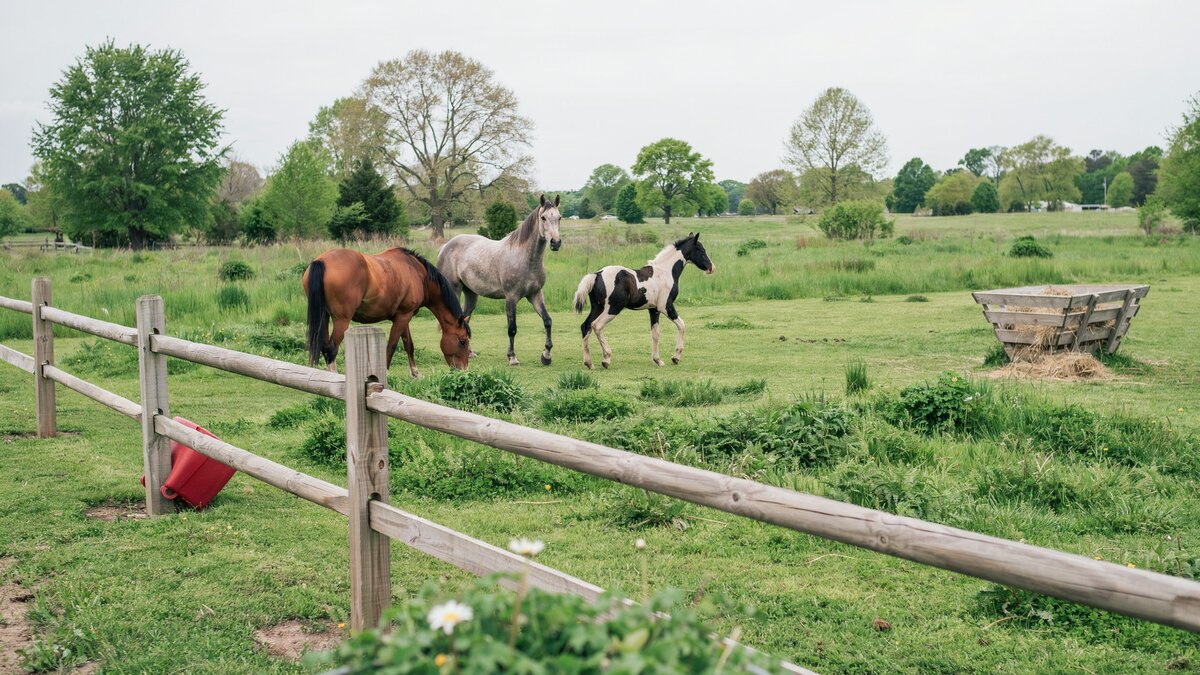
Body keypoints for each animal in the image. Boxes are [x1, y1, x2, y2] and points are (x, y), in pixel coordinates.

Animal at [303, 247, 471, 378]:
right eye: (462, 341)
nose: (463, 370)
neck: (417, 273)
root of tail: (322, 261)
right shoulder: (403, 317)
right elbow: (391, 346)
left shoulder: (404, 316)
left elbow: (409, 344)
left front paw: (416, 373)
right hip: (341, 320)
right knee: (331, 348)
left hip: (324, 318)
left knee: (324, 346)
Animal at [436, 194, 562, 366]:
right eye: (543, 217)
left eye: (559, 217)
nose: (555, 242)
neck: (525, 259)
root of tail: (445, 247)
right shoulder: (511, 297)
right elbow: (512, 328)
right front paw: (512, 357)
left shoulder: (535, 295)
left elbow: (547, 321)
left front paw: (546, 355)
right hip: (454, 290)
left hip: (471, 294)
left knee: (465, 319)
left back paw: (469, 353)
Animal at [572, 233, 714, 369]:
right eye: (701, 249)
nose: (711, 268)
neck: (665, 272)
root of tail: (597, 274)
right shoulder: (666, 306)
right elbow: (682, 325)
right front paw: (675, 357)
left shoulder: (653, 309)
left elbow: (655, 334)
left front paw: (658, 360)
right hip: (612, 309)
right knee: (597, 325)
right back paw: (606, 359)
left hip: (597, 308)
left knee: (586, 326)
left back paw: (589, 363)